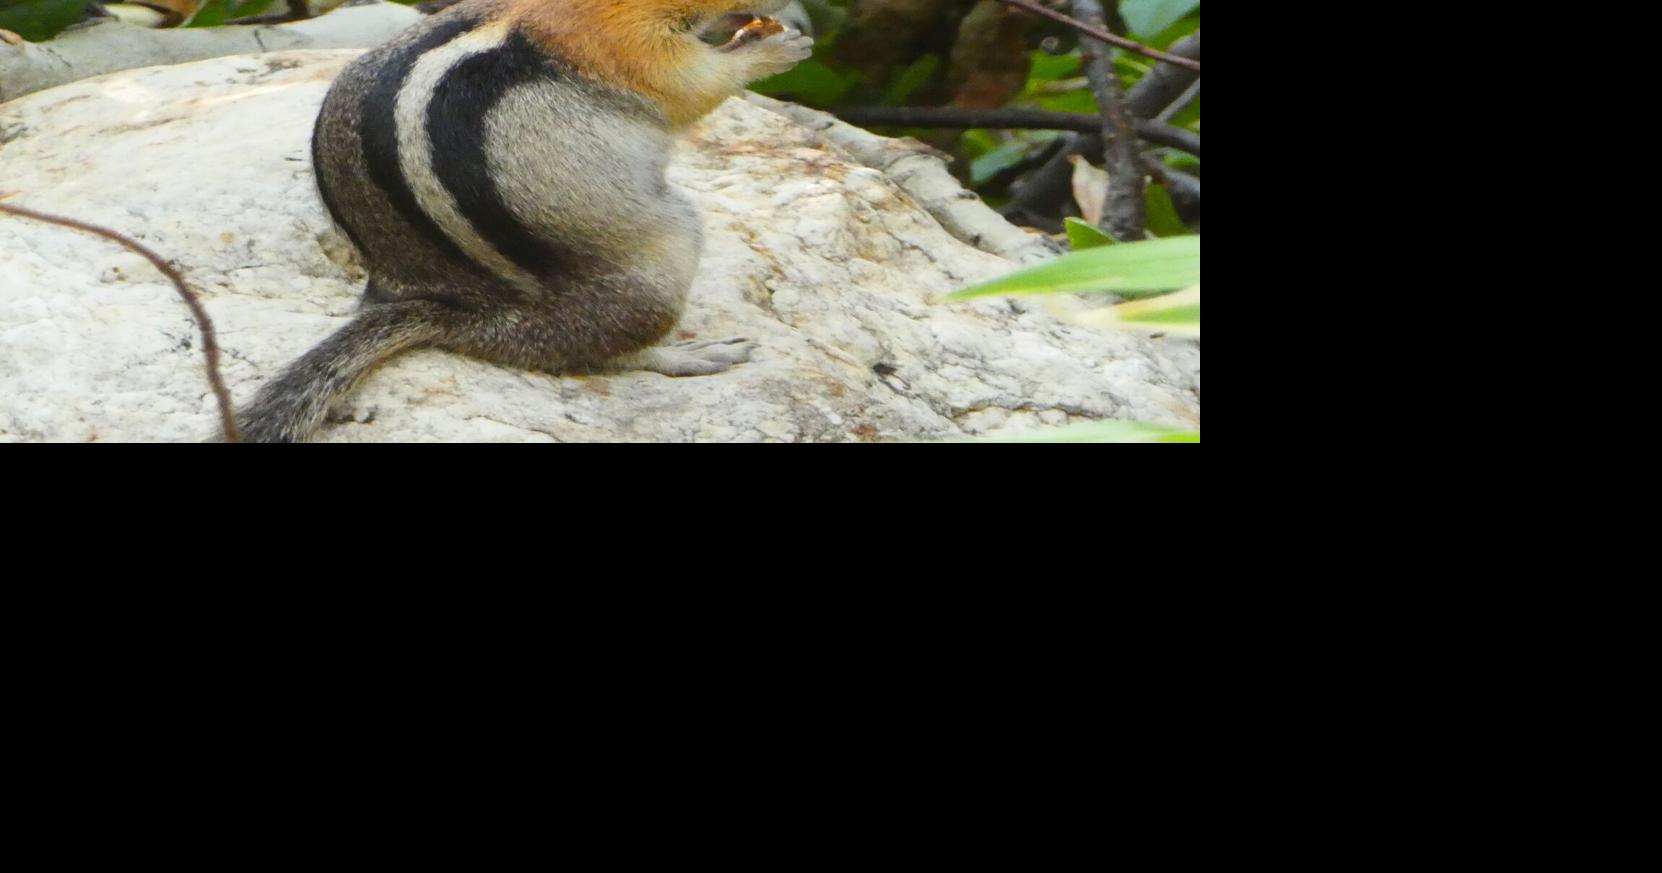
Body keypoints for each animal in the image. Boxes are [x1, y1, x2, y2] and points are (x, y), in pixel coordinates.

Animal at [232, 0, 814, 441]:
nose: (796, 13)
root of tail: (475, 318)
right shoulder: (622, 47)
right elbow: (692, 86)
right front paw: (777, 49)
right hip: (668, 246)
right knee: (596, 354)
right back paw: (686, 355)